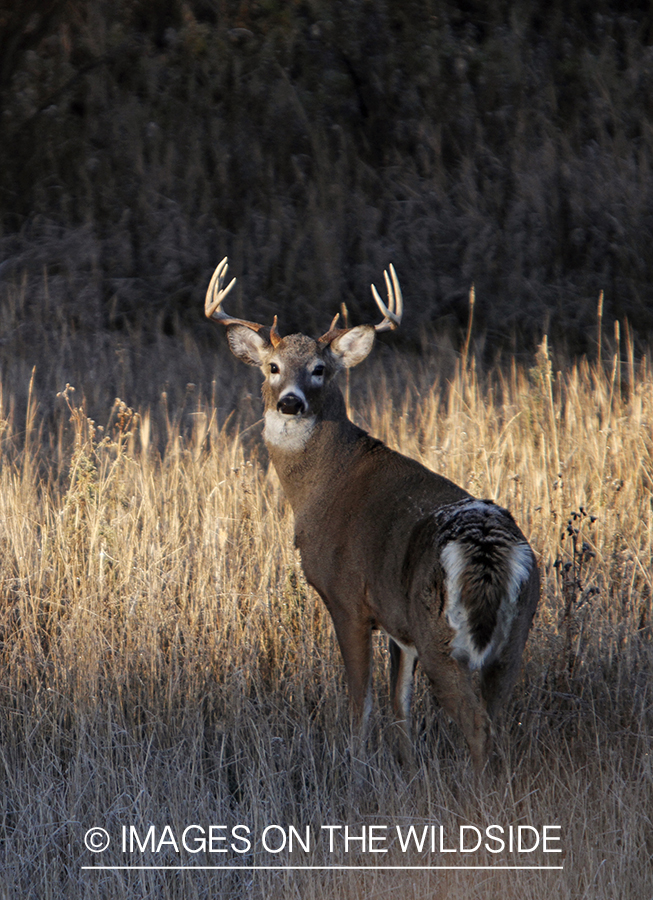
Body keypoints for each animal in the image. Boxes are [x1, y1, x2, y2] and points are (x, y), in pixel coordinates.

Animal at [205, 256, 540, 768]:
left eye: (320, 369)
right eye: (272, 367)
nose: (290, 402)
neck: (324, 484)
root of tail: (489, 547)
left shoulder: (347, 597)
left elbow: (359, 705)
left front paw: (355, 764)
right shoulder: (398, 624)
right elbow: (398, 708)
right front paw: (404, 765)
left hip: (440, 632)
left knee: (478, 725)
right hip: (514, 633)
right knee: (497, 718)